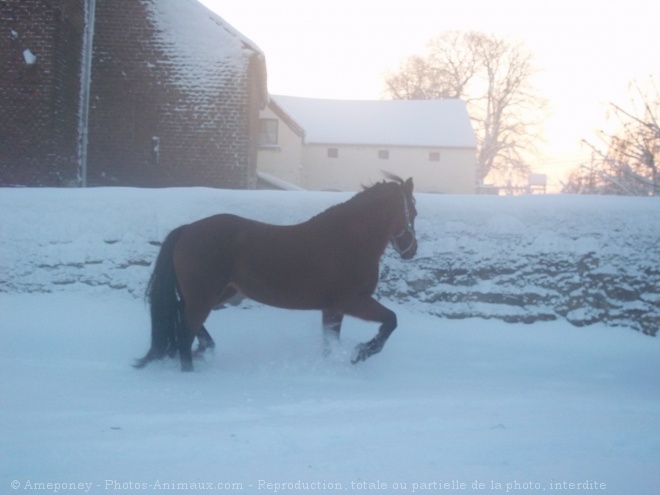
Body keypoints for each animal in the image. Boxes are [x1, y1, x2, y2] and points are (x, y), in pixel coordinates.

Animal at [135, 175, 418, 372]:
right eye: (413, 212)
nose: (412, 250)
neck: (349, 239)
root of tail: (187, 230)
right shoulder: (351, 301)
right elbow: (390, 321)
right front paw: (361, 353)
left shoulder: (331, 308)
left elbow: (329, 344)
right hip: (204, 297)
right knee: (185, 333)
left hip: (217, 293)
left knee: (182, 316)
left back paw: (205, 349)